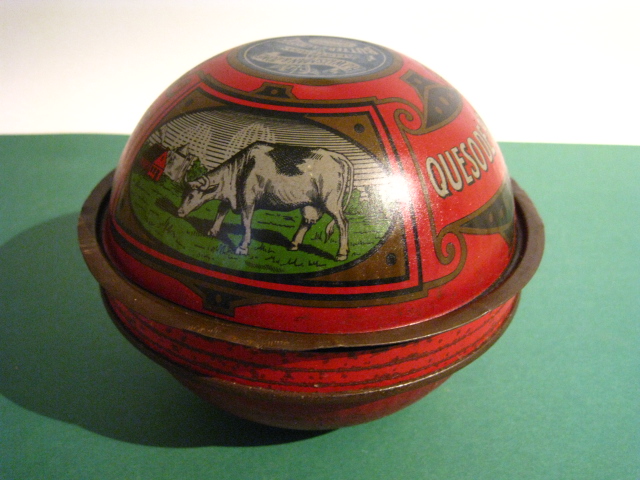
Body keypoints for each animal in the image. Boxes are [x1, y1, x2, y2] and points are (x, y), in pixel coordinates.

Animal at [177, 141, 353, 261]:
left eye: (191, 195)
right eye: (183, 194)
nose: (179, 212)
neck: (241, 168)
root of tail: (339, 157)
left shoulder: (247, 199)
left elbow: (245, 222)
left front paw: (242, 247)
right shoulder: (232, 197)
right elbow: (221, 211)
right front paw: (212, 231)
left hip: (331, 202)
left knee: (343, 223)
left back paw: (341, 253)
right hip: (312, 204)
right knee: (308, 222)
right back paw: (293, 244)